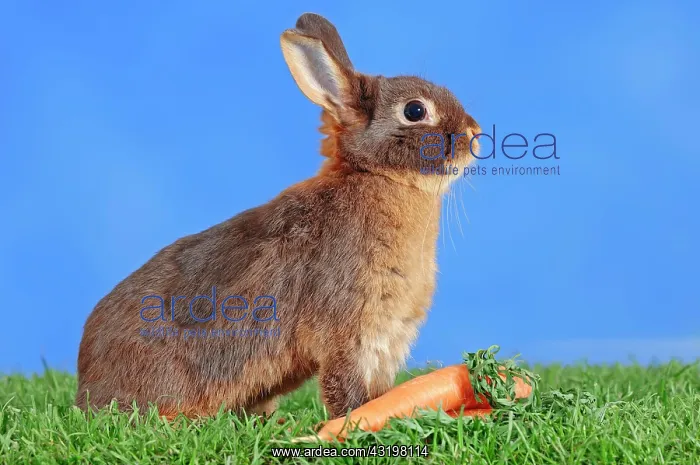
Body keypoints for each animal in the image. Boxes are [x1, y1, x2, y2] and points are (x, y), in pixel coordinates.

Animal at [75, 12, 482, 420]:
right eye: (415, 111)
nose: (475, 133)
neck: (375, 175)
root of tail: (85, 384)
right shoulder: (347, 328)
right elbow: (344, 385)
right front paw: (353, 419)